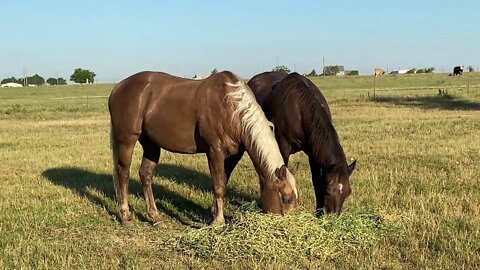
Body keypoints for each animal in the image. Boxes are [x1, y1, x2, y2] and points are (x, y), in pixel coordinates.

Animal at [108, 70, 300, 225]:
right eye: (286, 199)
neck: (231, 107)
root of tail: (117, 88)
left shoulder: (233, 155)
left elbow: (223, 180)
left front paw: (214, 212)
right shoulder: (214, 150)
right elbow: (219, 185)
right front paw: (218, 220)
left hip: (151, 145)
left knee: (145, 175)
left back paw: (155, 217)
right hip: (127, 140)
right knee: (123, 173)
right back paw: (126, 216)